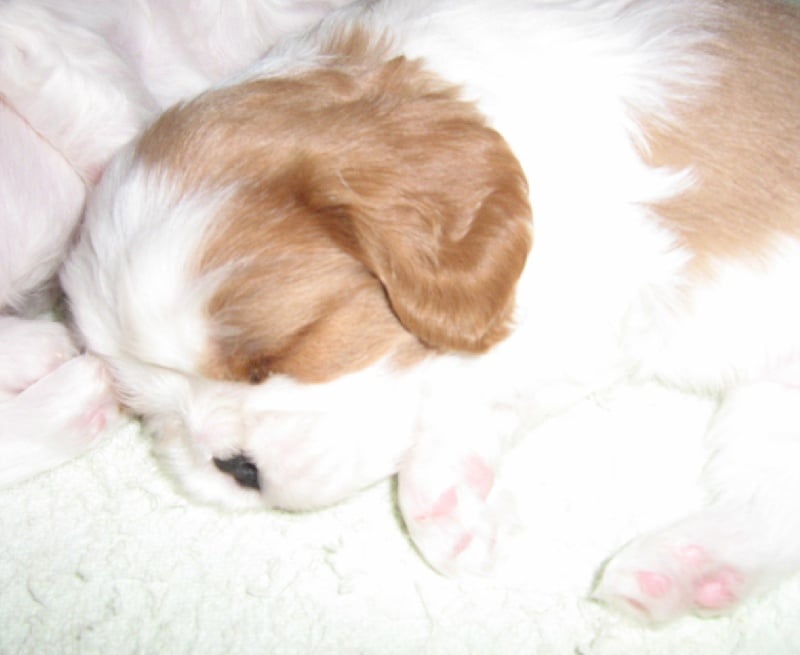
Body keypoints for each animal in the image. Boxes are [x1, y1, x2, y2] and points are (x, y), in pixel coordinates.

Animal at [61, 0, 800, 623]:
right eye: (146, 407)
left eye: (280, 353)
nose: (232, 465)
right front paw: (458, 512)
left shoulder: (608, 290)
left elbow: (457, 390)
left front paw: (446, 497)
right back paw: (686, 570)